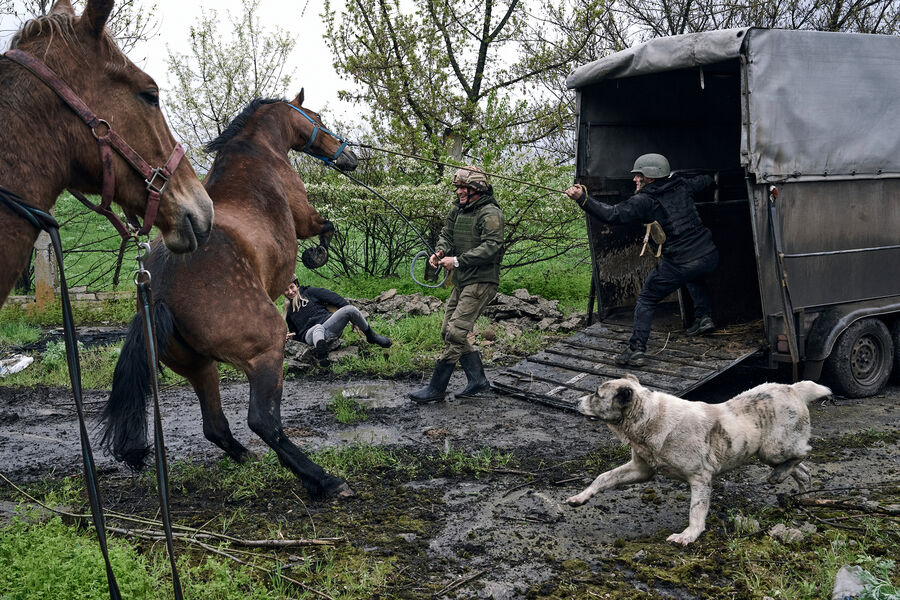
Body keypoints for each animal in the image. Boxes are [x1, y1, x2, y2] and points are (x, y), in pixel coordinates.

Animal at [103, 91, 358, 500]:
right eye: (316, 116)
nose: (348, 157)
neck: (257, 150)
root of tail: (160, 295)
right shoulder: (304, 216)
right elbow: (326, 227)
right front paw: (316, 256)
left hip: (199, 366)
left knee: (215, 425)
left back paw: (248, 459)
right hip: (266, 349)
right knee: (263, 421)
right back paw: (322, 478)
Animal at [568, 378, 832, 548]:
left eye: (596, 394)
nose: (575, 402)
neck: (649, 418)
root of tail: (792, 388)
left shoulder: (700, 477)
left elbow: (696, 510)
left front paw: (688, 535)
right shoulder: (641, 470)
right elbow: (603, 477)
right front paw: (580, 497)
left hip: (773, 449)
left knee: (804, 452)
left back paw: (780, 476)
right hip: (771, 453)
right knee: (803, 471)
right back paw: (798, 494)